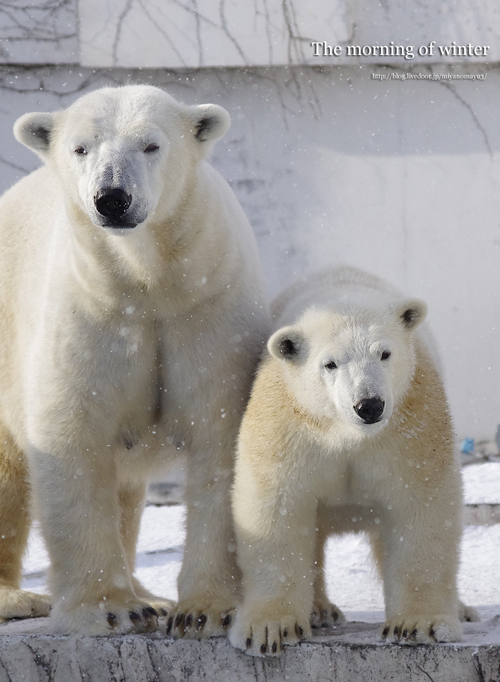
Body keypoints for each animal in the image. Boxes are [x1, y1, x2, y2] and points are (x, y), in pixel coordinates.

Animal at [0, 83, 270, 632]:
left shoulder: (210, 314)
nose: (112, 198)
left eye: (151, 145)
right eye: (81, 148)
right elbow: (72, 435)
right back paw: (15, 598)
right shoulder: (89, 315)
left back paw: (153, 597)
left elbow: (224, 438)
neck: (148, 282)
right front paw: (110, 608)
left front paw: (203, 611)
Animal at [230, 266, 472, 652]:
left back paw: (461, 608)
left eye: (384, 353)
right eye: (330, 363)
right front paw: (269, 629)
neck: (348, 434)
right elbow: (276, 506)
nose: (369, 405)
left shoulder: (411, 425)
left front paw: (419, 624)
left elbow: (420, 505)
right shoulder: (288, 425)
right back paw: (320, 610)